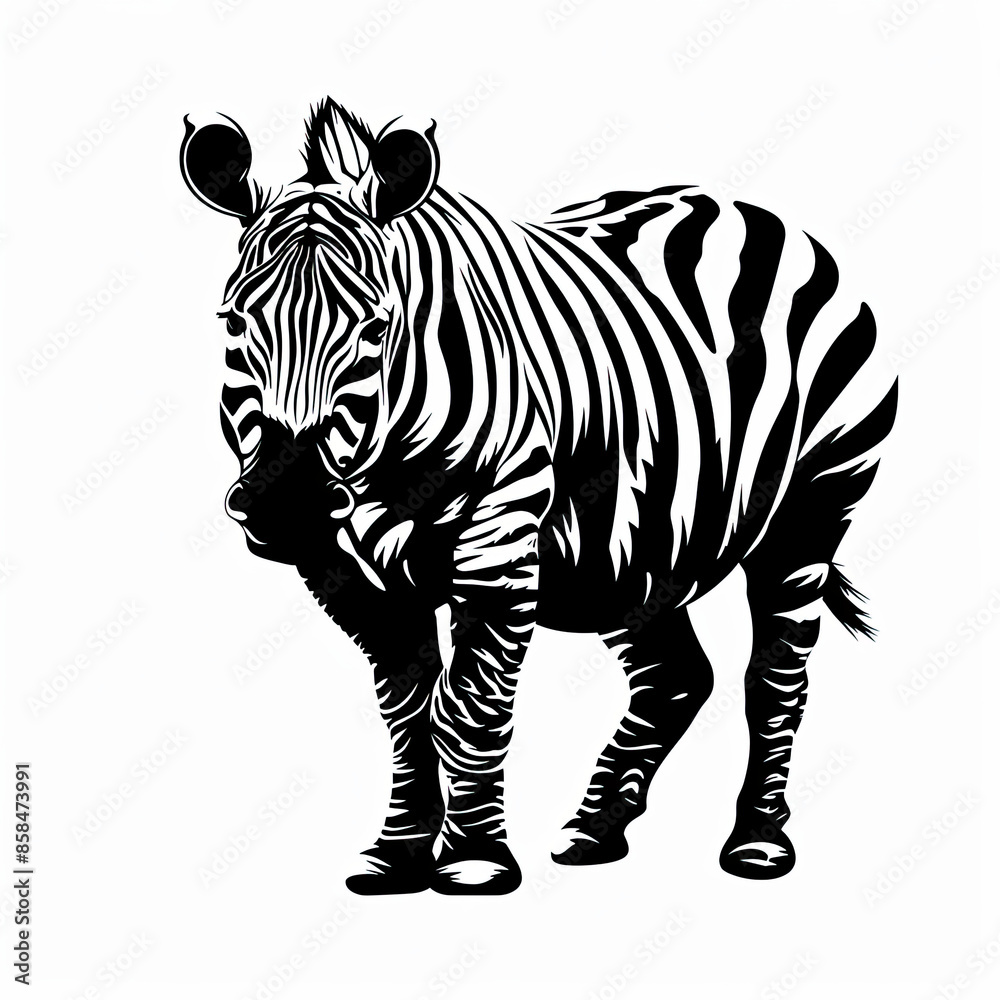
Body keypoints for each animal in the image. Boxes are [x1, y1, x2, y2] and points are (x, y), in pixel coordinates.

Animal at [180, 99, 897, 896]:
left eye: (374, 326)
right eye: (234, 323)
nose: (287, 507)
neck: (385, 465)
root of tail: (751, 211)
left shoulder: (498, 545)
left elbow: (468, 706)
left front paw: (473, 861)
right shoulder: (344, 571)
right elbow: (407, 709)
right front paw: (399, 852)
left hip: (813, 504)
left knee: (774, 672)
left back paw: (758, 843)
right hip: (636, 539)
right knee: (676, 678)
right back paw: (594, 830)